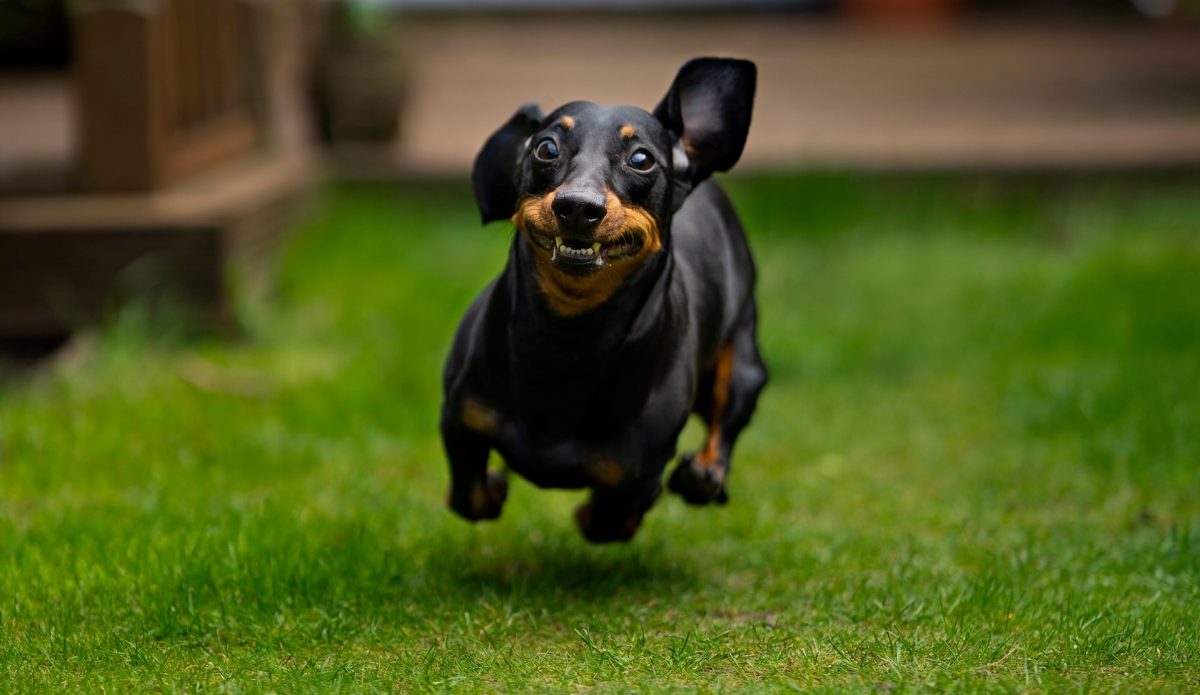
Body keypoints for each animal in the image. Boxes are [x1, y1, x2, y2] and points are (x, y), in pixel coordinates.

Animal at [441, 57, 768, 540]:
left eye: (641, 159)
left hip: (745, 364)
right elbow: (471, 497)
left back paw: (703, 475)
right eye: (545, 149)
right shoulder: (460, 420)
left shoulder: (642, 469)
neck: (569, 335)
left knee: (724, 428)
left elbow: (610, 519)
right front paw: (495, 486)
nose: (578, 206)